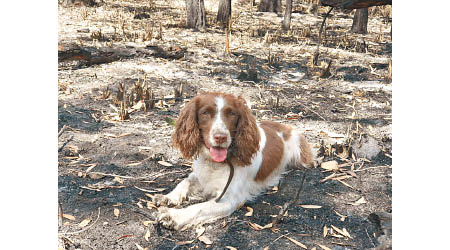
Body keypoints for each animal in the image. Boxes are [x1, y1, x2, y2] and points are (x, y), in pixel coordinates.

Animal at [155, 92, 316, 230]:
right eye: (205, 113)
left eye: (231, 114)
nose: (221, 137)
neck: (215, 163)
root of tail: (285, 125)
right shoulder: (200, 176)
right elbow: (185, 182)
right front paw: (168, 197)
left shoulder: (229, 199)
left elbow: (199, 207)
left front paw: (174, 216)